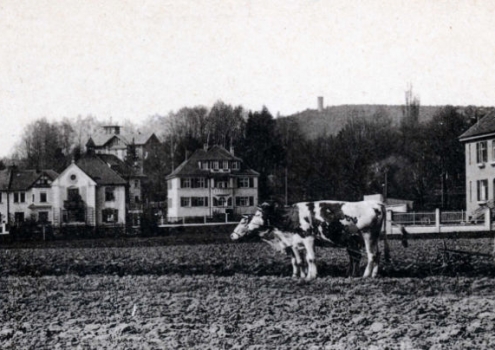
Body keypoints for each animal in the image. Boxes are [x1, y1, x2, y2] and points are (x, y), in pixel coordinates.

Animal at [232, 201, 406, 280]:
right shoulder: (297, 242)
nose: (233, 236)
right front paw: (303, 275)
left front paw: (311, 276)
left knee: (370, 255)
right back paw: (372, 274)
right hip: (372, 237)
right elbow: (301, 260)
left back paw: (365, 275)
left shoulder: (308, 238)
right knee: (375, 254)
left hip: (367, 234)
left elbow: (310, 258)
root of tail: (376, 203)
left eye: (258, 214)